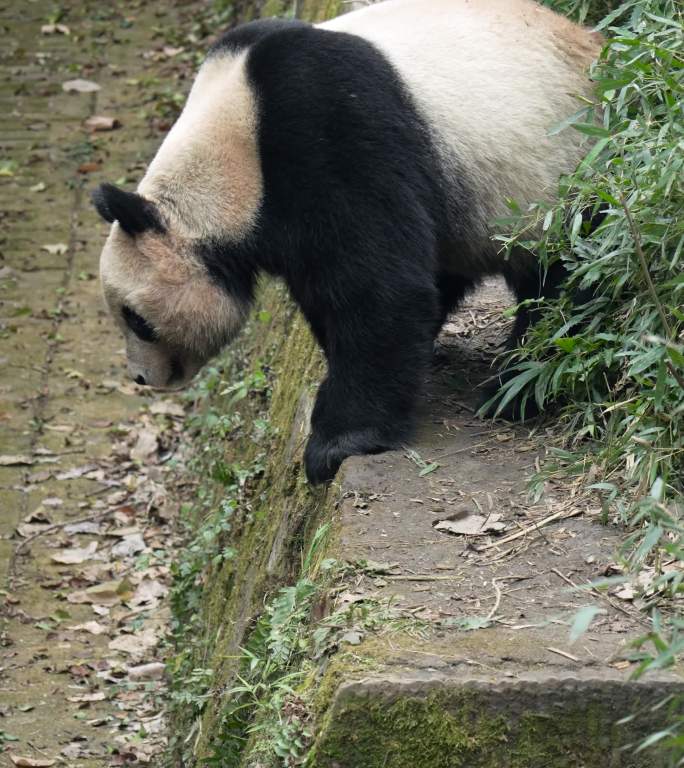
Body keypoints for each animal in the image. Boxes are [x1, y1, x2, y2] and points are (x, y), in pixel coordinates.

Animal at [93, 0, 600, 480]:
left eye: (136, 319)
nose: (141, 377)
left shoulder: (330, 133)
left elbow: (378, 290)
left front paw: (337, 443)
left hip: (563, 176)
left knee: (567, 288)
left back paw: (517, 387)